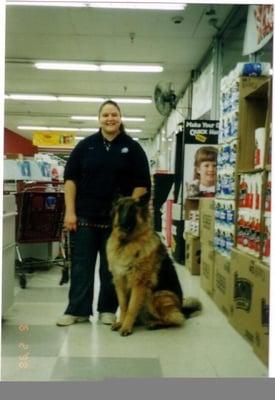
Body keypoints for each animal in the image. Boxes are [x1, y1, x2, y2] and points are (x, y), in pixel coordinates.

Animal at [106, 195, 202, 336]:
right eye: (120, 208)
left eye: (133, 210)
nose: (122, 224)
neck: (126, 243)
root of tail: (181, 308)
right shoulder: (120, 281)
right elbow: (124, 306)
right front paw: (121, 322)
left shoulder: (138, 284)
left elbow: (131, 308)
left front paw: (126, 327)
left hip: (158, 296)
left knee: (177, 319)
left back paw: (155, 324)